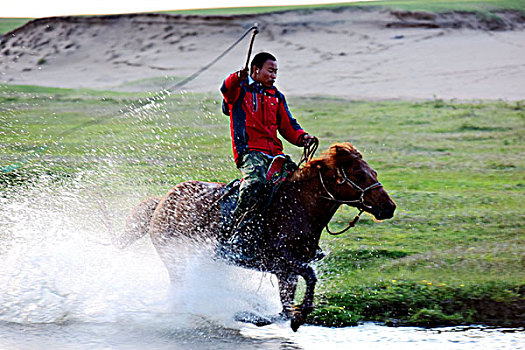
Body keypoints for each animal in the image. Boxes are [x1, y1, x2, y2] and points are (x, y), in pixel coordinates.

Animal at [114, 142, 392, 330]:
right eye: (358, 174)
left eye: (375, 173)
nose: (389, 207)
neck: (296, 207)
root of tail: (162, 201)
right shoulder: (279, 261)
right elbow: (310, 277)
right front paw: (291, 315)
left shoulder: (285, 271)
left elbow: (285, 305)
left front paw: (281, 317)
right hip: (175, 257)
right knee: (181, 289)